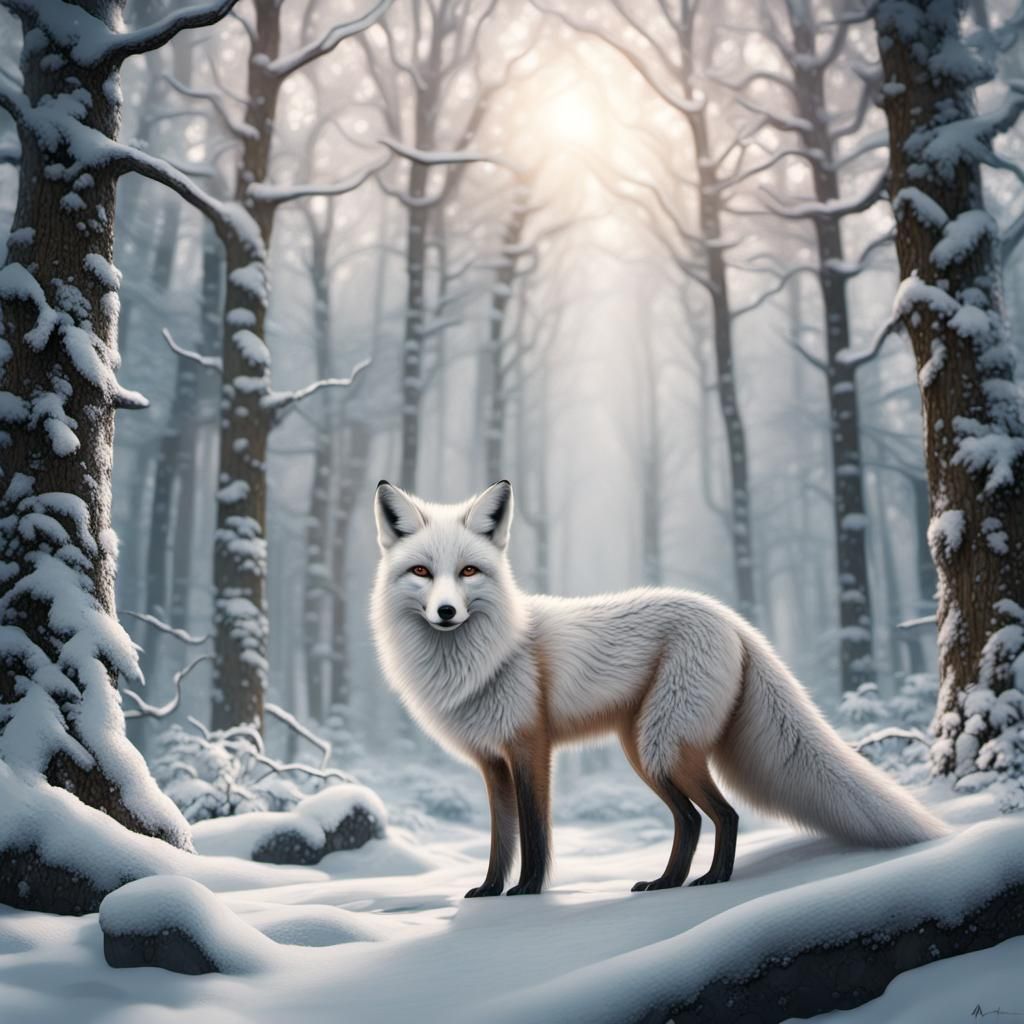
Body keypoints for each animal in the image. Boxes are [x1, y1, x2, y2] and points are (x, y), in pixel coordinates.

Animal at [370, 479, 948, 897]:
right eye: (421, 572)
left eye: (469, 571)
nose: (446, 612)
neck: (481, 659)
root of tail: (733, 620)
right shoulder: (492, 762)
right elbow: (500, 838)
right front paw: (491, 890)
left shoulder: (530, 746)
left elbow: (534, 834)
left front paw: (528, 891)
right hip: (647, 748)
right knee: (691, 820)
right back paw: (668, 882)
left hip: (662, 747)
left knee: (720, 814)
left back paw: (711, 880)